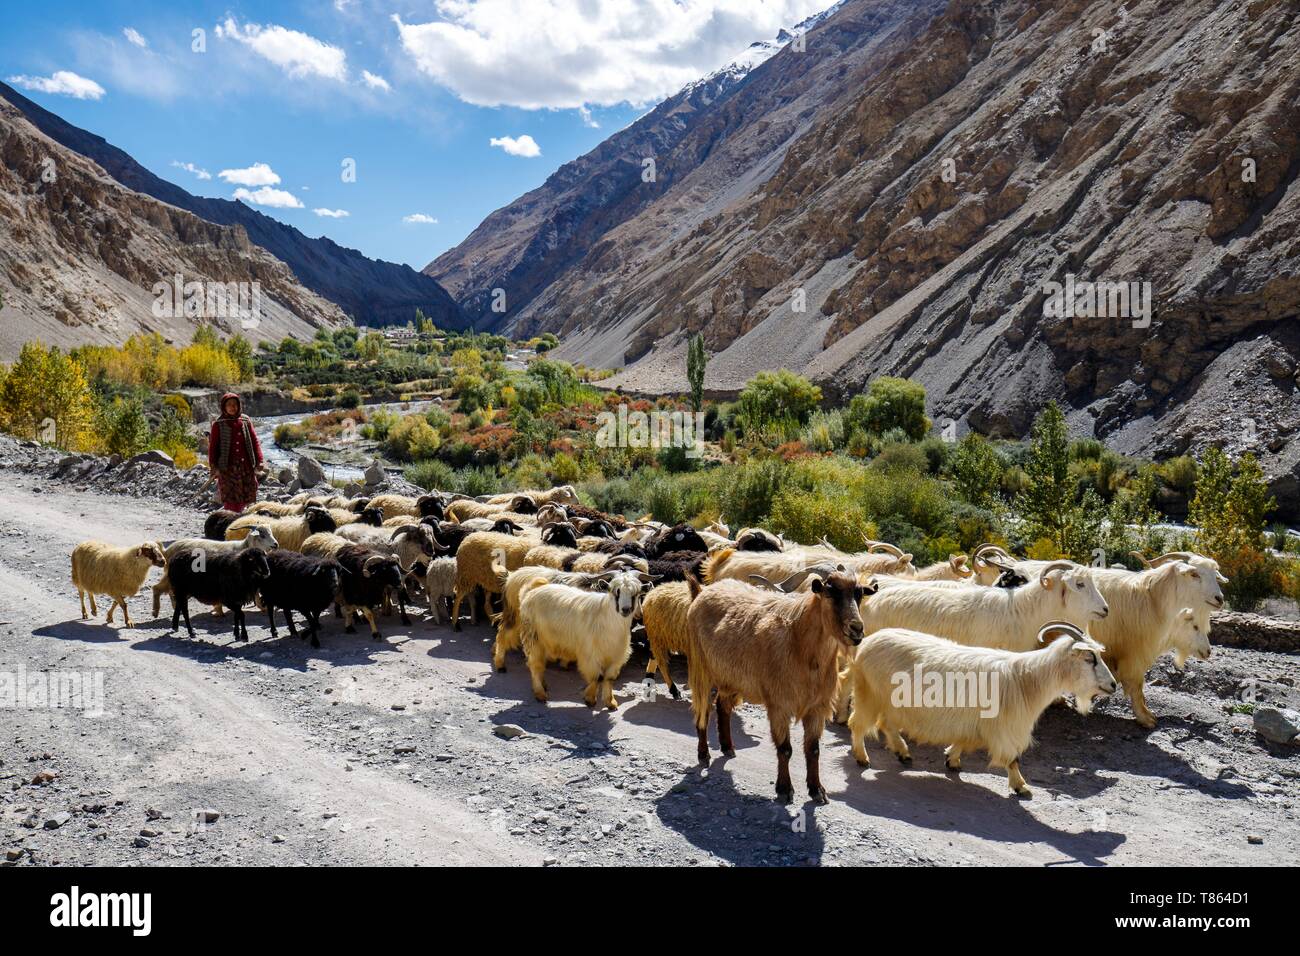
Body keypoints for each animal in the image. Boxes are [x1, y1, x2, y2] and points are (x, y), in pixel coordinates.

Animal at [681, 572, 873, 806]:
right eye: (830, 592)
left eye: (859, 593)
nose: (857, 629)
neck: (800, 647)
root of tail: (701, 592)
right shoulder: (779, 705)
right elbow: (785, 749)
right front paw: (784, 790)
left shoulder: (816, 707)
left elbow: (813, 750)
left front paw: (817, 790)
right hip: (701, 668)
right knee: (702, 712)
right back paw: (703, 754)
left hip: (731, 678)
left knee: (723, 707)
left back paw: (727, 747)